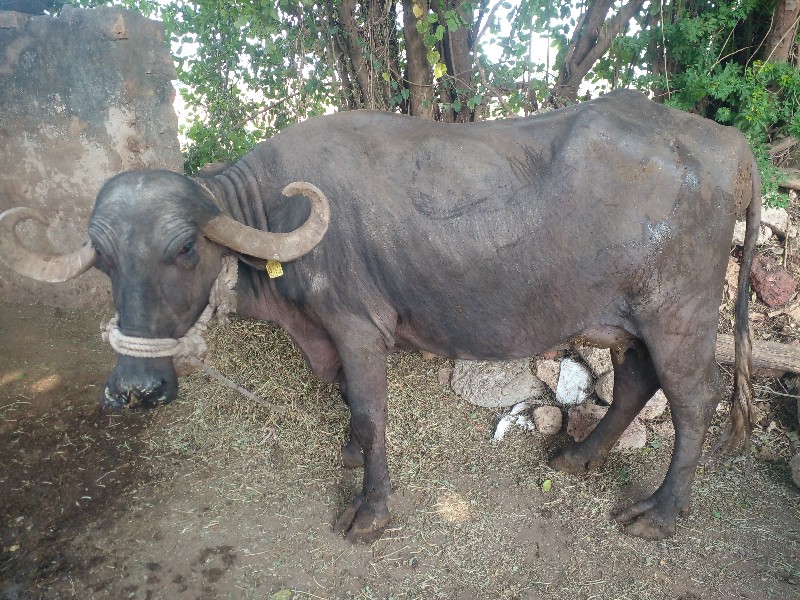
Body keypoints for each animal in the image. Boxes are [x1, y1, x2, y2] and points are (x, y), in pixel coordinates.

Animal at [1, 90, 764, 544]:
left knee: (693, 402)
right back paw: (577, 456)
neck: (275, 218)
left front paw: (370, 508)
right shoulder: (324, 334)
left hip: (680, 315)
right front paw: (346, 448)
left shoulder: (357, 327)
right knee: (636, 382)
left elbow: (370, 410)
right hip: (627, 320)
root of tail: (729, 145)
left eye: (185, 247)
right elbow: (345, 397)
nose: (135, 389)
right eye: (103, 259)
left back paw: (660, 512)